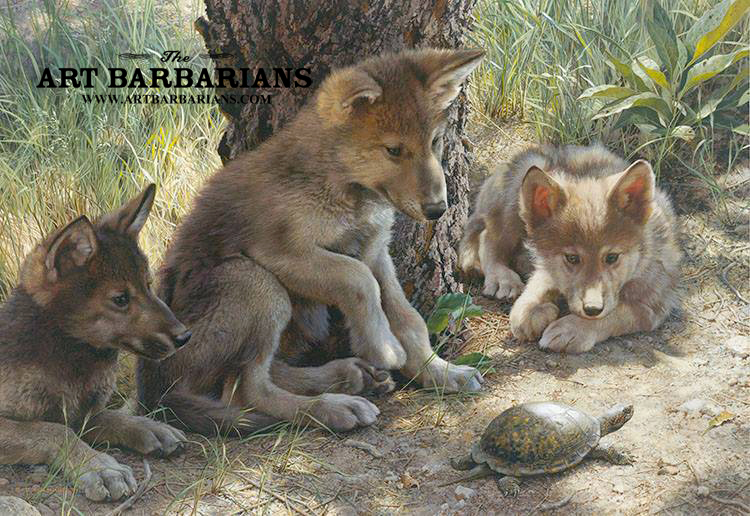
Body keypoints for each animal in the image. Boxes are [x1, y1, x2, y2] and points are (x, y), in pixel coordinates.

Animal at [0, 185, 191, 502]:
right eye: (121, 299)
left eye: (148, 285)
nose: (184, 337)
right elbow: (54, 431)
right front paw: (100, 467)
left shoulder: (82, 412)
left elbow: (105, 416)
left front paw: (145, 426)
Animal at [137, 48, 485, 435]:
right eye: (393, 150)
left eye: (435, 142)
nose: (438, 209)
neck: (338, 183)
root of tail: (153, 392)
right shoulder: (285, 254)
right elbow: (359, 281)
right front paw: (383, 348)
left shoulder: (375, 248)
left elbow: (407, 317)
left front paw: (437, 371)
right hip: (255, 282)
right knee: (246, 391)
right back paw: (335, 406)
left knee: (264, 375)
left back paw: (347, 377)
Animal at [459, 144, 681, 353]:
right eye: (572, 258)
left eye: (612, 257)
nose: (592, 308)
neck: (640, 264)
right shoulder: (548, 264)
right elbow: (530, 301)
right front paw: (534, 309)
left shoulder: (653, 307)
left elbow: (615, 315)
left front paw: (571, 329)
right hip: (520, 185)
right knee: (488, 234)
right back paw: (501, 278)